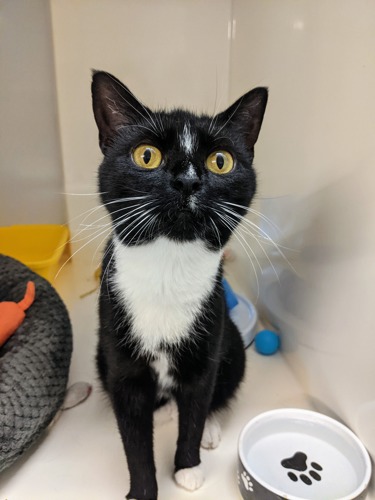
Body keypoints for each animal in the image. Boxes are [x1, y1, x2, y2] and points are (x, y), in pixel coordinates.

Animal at [91, 71, 268, 500]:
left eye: (220, 161)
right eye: (146, 156)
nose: (188, 181)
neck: (167, 268)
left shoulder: (206, 349)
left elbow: (196, 408)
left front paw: (188, 467)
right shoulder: (123, 369)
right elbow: (134, 438)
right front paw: (142, 491)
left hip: (230, 340)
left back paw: (211, 428)